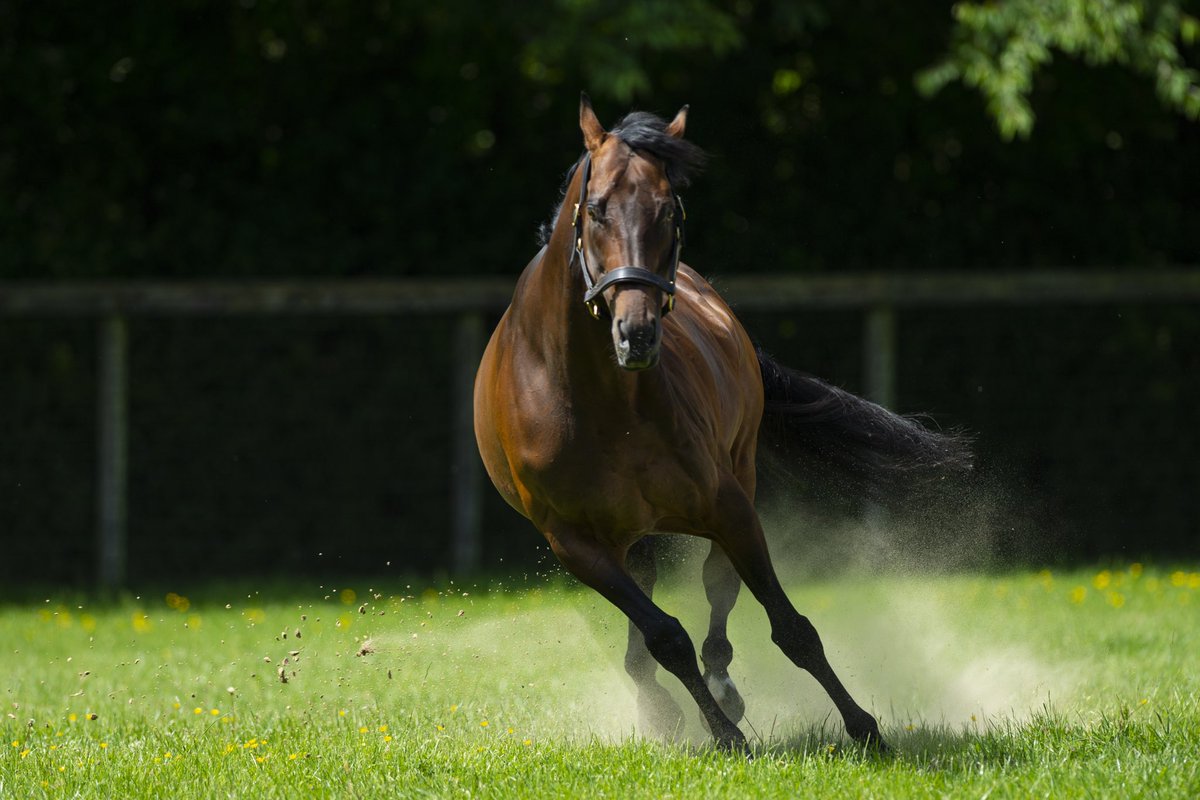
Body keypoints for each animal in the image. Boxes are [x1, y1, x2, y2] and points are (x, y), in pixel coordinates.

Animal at [472, 95, 969, 753]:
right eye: (597, 209)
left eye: (670, 210)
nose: (637, 333)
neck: (595, 398)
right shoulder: (574, 544)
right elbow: (664, 635)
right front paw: (724, 734)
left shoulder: (727, 506)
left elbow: (790, 627)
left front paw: (863, 728)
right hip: (627, 535)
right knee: (650, 605)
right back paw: (666, 706)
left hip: (733, 478)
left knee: (718, 585)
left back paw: (724, 683)